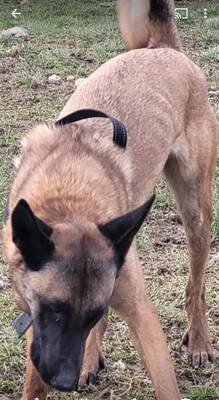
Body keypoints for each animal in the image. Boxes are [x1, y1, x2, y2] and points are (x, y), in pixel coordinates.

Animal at [2, 0, 218, 400]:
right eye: (53, 310)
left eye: (88, 313)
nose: (63, 381)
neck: (70, 196)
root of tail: (162, 48)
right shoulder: (37, 324)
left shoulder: (139, 312)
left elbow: (165, 383)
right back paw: (90, 360)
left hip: (196, 212)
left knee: (195, 285)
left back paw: (198, 341)